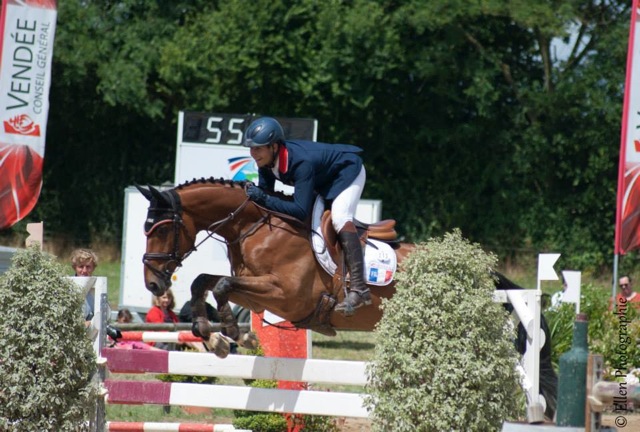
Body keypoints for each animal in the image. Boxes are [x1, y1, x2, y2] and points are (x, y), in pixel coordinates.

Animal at [139, 178, 556, 418]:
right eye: (146, 228)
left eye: (161, 229)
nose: (153, 285)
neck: (255, 226)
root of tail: (483, 271)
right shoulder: (260, 296)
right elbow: (205, 282)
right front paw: (214, 335)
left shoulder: (285, 296)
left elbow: (222, 286)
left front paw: (232, 335)